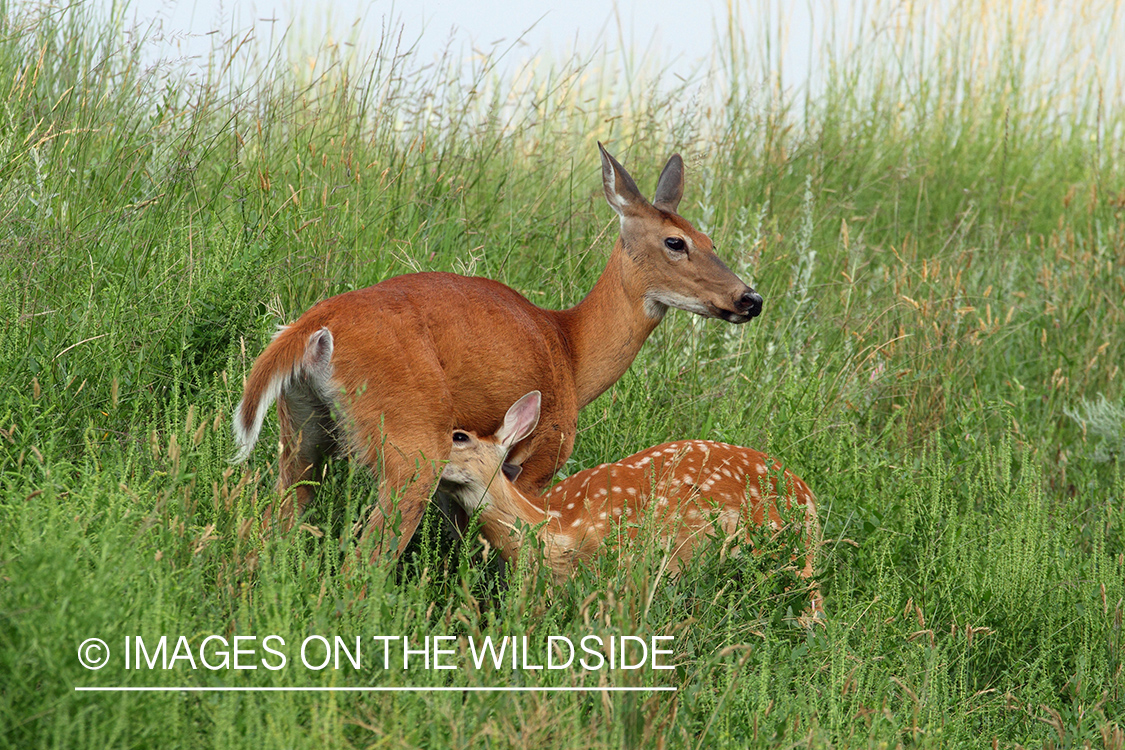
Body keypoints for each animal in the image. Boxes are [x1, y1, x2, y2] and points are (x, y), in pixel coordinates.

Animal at [231, 145, 760, 557]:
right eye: (676, 242)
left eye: (712, 240)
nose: (749, 299)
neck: (571, 349)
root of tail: (314, 327)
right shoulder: (539, 454)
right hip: (411, 441)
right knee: (368, 555)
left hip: (302, 430)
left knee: (268, 527)